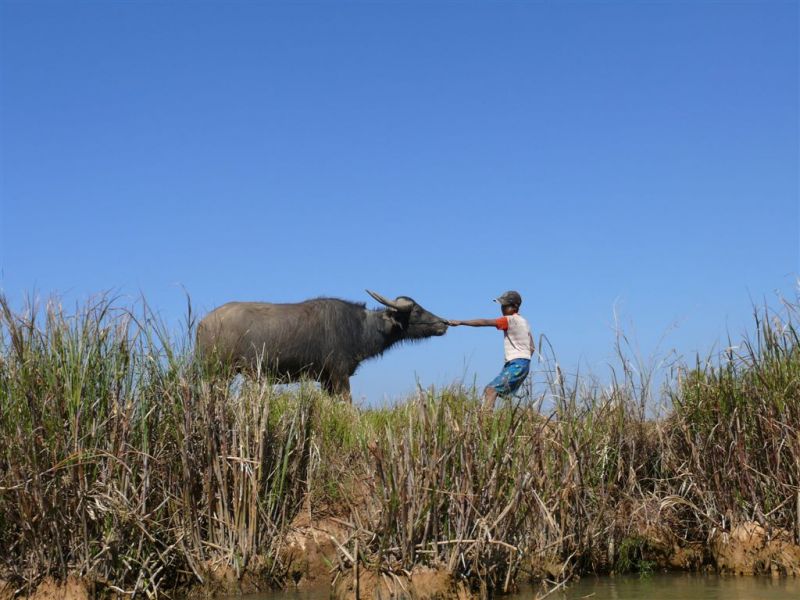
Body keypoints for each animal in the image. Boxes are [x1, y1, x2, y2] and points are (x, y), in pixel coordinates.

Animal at [193, 292, 444, 400]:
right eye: (417, 311)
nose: (443, 324)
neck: (359, 327)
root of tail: (203, 324)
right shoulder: (339, 374)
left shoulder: (325, 380)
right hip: (218, 371)